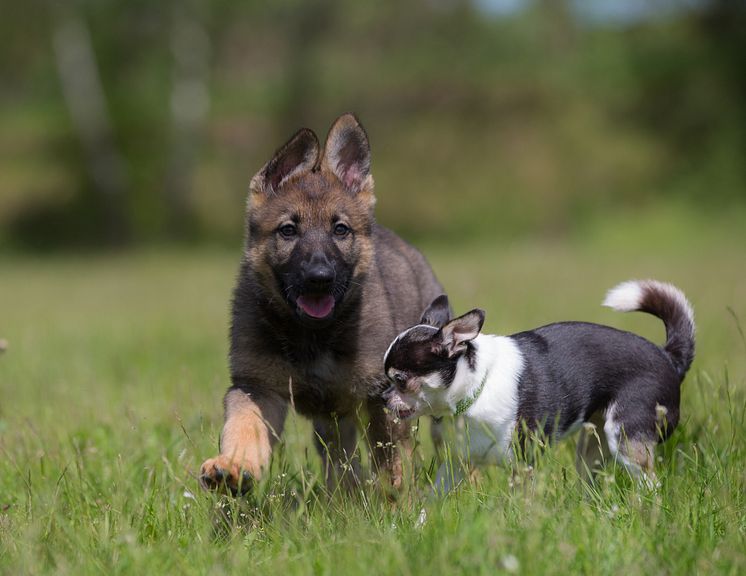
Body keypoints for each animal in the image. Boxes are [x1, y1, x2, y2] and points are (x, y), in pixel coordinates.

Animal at [199, 115, 442, 492]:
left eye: (340, 230)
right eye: (287, 230)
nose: (320, 276)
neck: (312, 335)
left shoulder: (379, 395)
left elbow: (391, 459)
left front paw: (396, 499)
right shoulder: (256, 387)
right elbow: (243, 428)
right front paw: (233, 466)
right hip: (332, 419)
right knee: (340, 456)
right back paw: (342, 495)